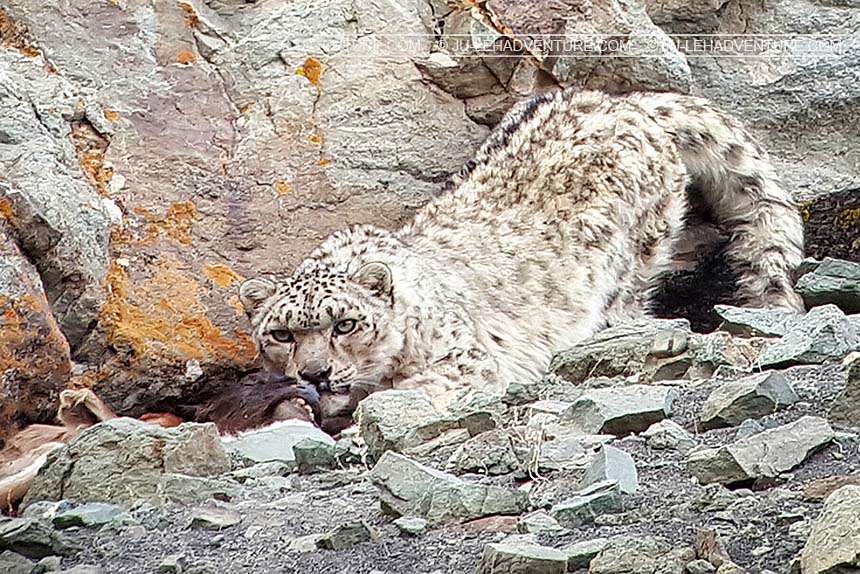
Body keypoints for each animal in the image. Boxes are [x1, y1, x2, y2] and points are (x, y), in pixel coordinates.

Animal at [238, 88, 804, 423]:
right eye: (281, 335)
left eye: (346, 325)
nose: (314, 374)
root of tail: (624, 101)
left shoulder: (462, 361)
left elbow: (411, 391)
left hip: (631, 261)